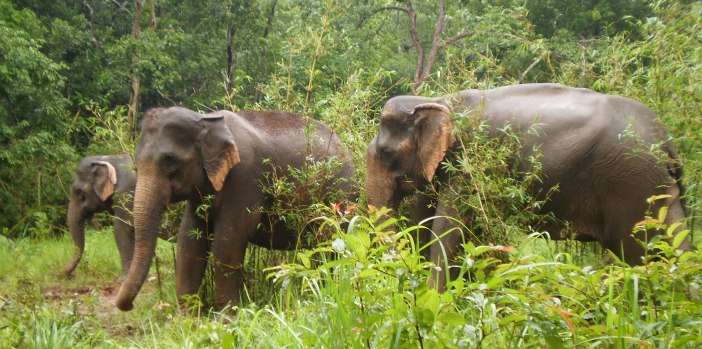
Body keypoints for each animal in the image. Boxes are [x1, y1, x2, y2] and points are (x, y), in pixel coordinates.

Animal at [117, 105, 358, 310]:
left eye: (170, 161)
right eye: (136, 162)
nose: (128, 306)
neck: (204, 119)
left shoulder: (245, 176)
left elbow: (229, 241)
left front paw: (226, 318)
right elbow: (190, 242)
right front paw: (187, 319)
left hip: (340, 195)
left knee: (330, 241)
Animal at [372, 83, 692, 290]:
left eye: (386, 153)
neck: (438, 99)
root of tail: (665, 140)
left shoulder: (468, 163)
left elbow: (448, 228)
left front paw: (433, 301)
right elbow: (428, 221)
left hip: (629, 183)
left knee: (638, 253)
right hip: (654, 186)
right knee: (675, 248)